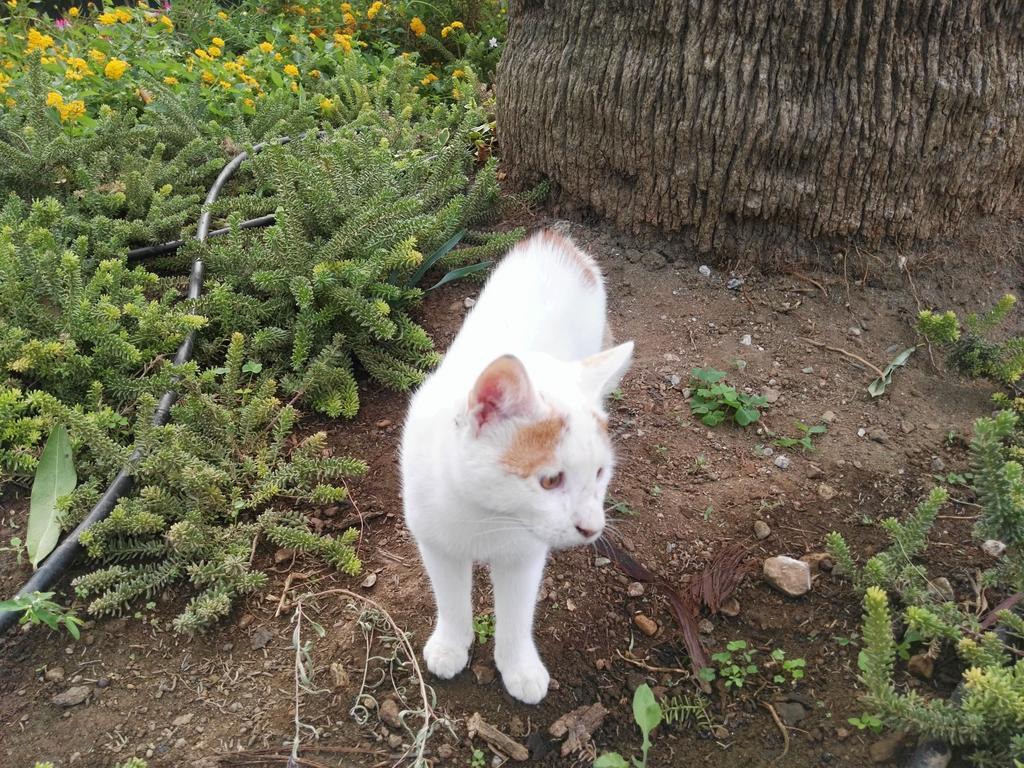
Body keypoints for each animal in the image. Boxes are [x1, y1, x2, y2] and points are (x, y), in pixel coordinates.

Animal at [399, 228, 630, 704]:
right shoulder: (436, 543)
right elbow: (451, 600)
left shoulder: (523, 558)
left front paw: (519, 666)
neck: (484, 514)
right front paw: (451, 644)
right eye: (551, 480)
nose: (592, 528)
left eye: (599, 474)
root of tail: (557, 238)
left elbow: (517, 616)